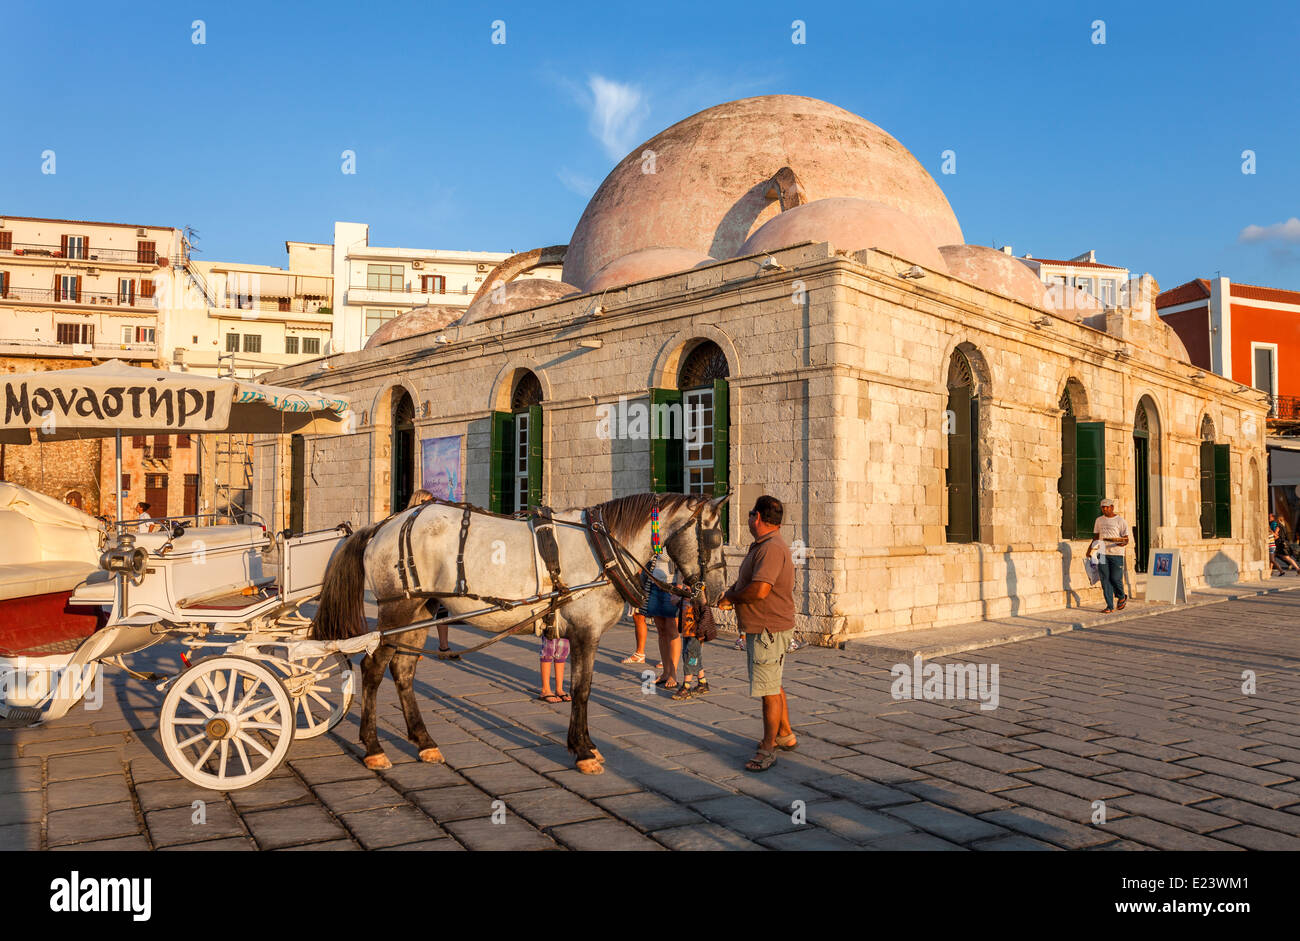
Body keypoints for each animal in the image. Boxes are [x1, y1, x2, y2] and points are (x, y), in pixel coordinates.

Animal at [309, 491, 728, 769]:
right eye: (715, 537)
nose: (719, 591)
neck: (604, 548)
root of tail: (384, 524)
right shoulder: (585, 631)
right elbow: (582, 689)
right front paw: (583, 750)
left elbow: (581, 688)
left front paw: (584, 745)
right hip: (397, 611)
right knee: (373, 669)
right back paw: (374, 748)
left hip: (419, 612)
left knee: (403, 670)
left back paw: (424, 741)